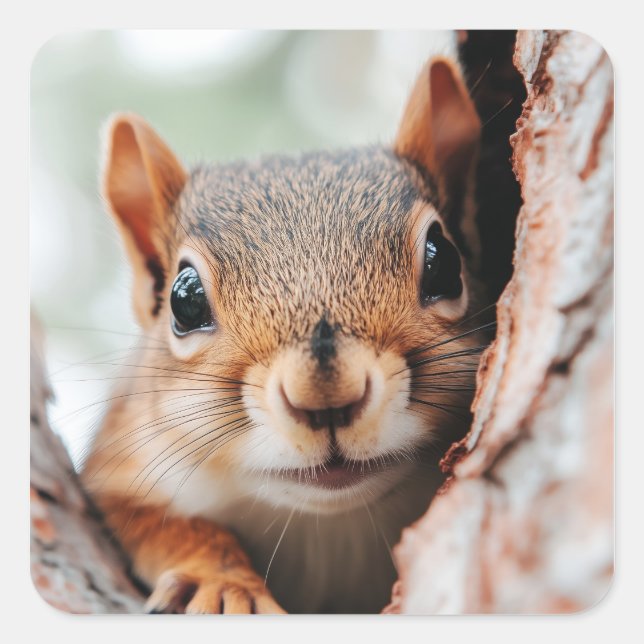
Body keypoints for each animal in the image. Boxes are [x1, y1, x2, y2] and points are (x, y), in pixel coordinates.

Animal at [80, 49, 489, 614]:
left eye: (444, 262)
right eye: (184, 300)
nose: (326, 396)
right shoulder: (116, 469)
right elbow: (167, 527)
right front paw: (224, 584)